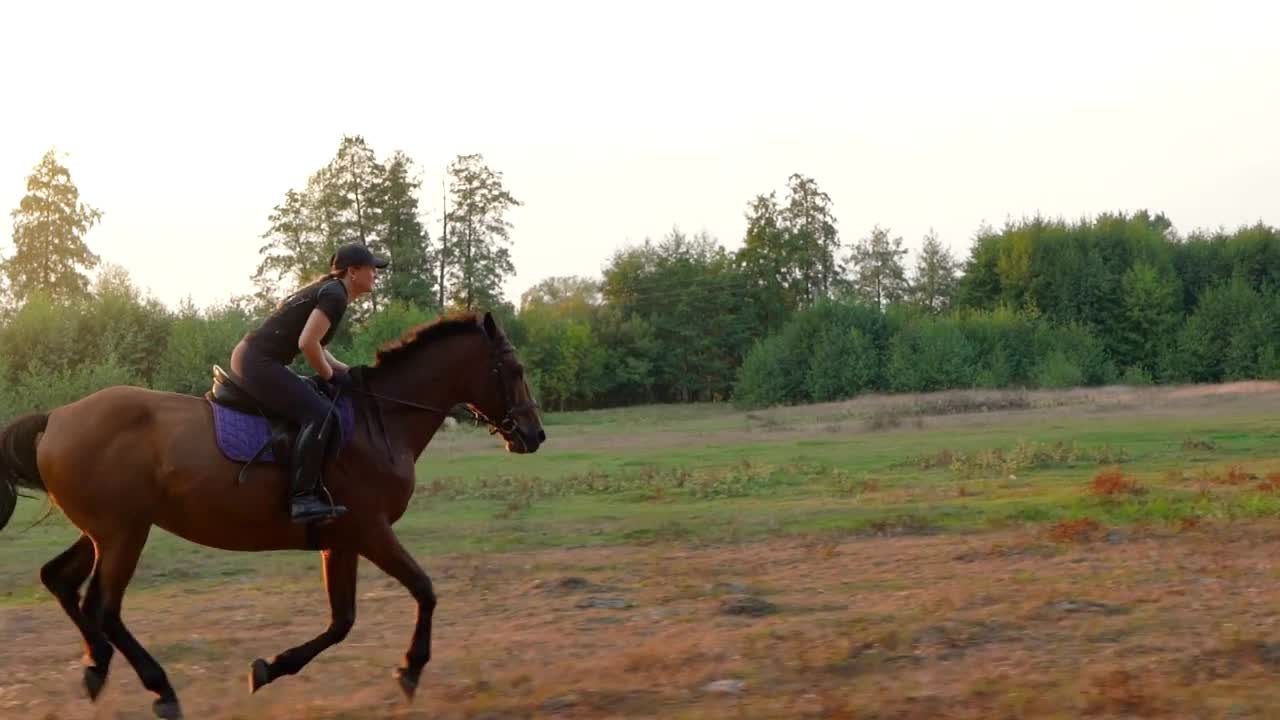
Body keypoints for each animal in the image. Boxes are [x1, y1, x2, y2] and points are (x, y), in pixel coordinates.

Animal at [0, 310, 545, 717]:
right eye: (515, 370)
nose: (534, 435)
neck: (382, 421)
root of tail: (55, 418)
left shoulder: (341, 539)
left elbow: (342, 622)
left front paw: (269, 668)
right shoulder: (370, 529)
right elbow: (424, 590)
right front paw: (411, 668)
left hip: (110, 529)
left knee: (61, 580)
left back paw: (97, 666)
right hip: (122, 534)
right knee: (104, 607)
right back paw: (161, 689)